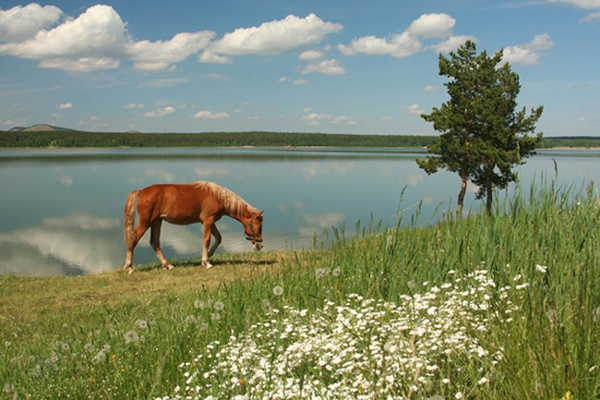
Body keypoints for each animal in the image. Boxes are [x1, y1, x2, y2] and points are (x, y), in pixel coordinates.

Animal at [122, 180, 262, 272]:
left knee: (154, 242)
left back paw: (167, 265)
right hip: (146, 222)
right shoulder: (208, 220)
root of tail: (141, 192)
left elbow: (218, 238)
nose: (259, 245)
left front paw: (207, 256)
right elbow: (207, 240)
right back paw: (129, 267)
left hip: (156, 221)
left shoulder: (209, 221)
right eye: (259, 226)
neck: (218, 197)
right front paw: (206, 262)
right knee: (133, 240)